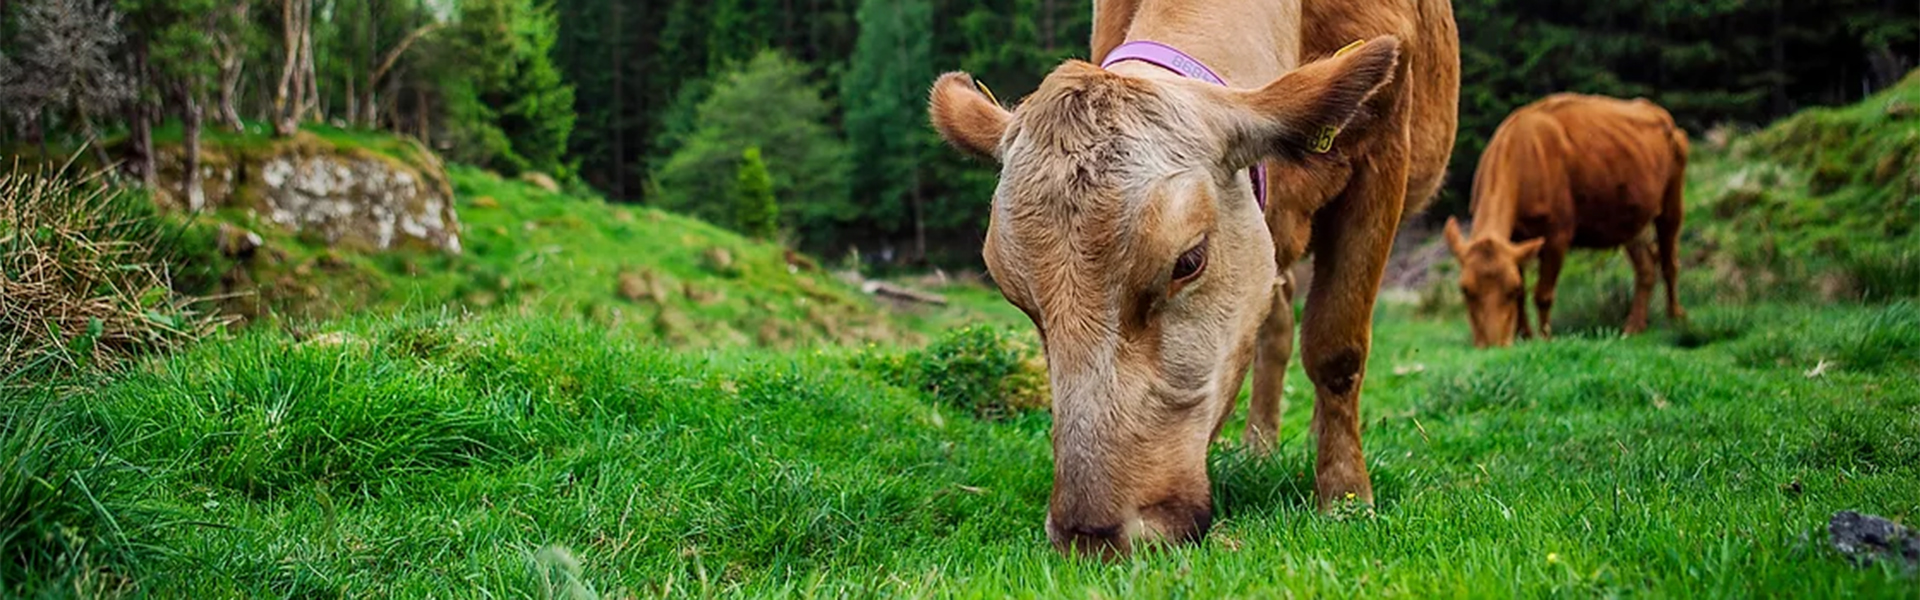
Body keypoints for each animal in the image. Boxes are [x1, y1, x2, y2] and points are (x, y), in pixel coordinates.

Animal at [925, 0, 1451, 557]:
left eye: (1188, 261)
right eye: (1017, 294)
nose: (1092, 535)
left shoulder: (1383, 155)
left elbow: (1336, 350)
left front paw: (1346, 497)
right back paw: (1258, 447)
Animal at [1443, 93, 1689, 346]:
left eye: (1511, 289)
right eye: (1465, 289)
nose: (1491, 345)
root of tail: (1659, 113)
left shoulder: (1558, 234)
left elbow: (1543, 294)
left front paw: (1544, 338)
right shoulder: (1516, 239)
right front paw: (1525, 335)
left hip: (1672, 200)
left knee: (1670, 261)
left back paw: (1675, 318)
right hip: (1631, 218)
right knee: (1646, 266)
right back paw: (1633, 327)